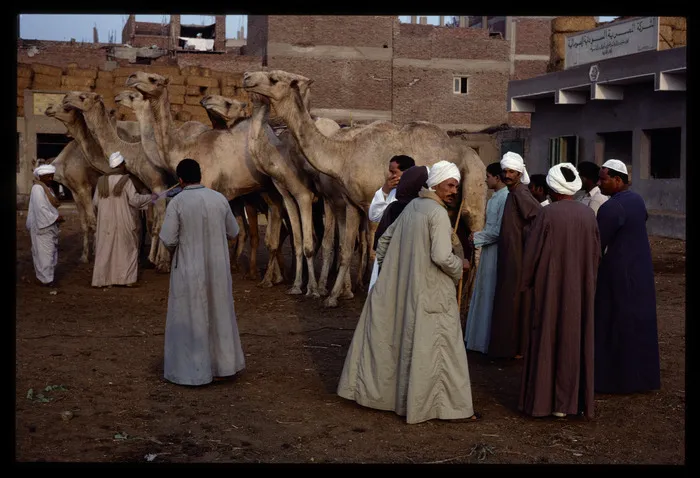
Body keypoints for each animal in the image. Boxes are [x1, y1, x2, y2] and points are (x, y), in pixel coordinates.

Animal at [61, 91, 174, 272]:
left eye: (83, 97)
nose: (66, 97)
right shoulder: (145, 188)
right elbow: (147, 223)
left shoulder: (158, 185)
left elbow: (156, 223)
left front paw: (159, 262)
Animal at [243, 69, 487, 308]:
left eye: (274, 79)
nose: (246, 77)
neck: (344, 154)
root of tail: (475, 156)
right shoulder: (352, 203)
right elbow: (345, 250)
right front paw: (332, 297)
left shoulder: (371, 202)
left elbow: (372, 250)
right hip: (454, 211)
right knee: (464, 245)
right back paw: (463, 296)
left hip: (474, 196)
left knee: (477, 246)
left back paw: (471, 300)